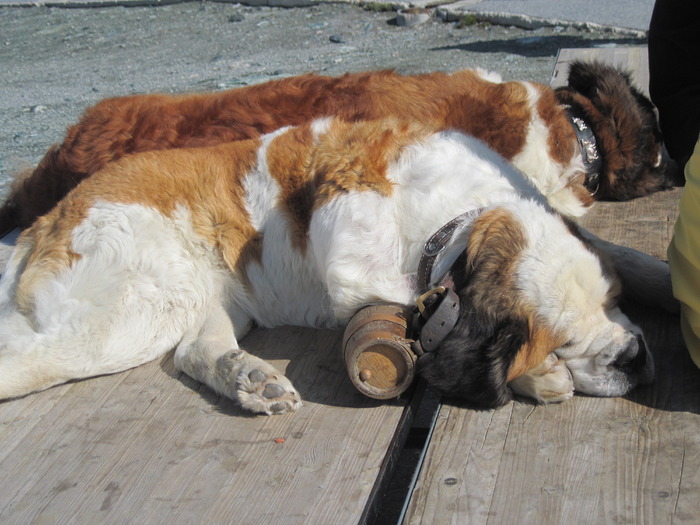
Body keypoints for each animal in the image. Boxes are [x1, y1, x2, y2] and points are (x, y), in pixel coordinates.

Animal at [0, 118, 652, 414]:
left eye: (616, 300)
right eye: (561, 341)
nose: (635, 356)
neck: (458, 225)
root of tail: (50, 214)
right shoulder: (361, 268)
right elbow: (427, 323)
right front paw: (537, 375)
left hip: (205, 302)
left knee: (193, 349)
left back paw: (249, 379)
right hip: (136, 310)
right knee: (39, 355)